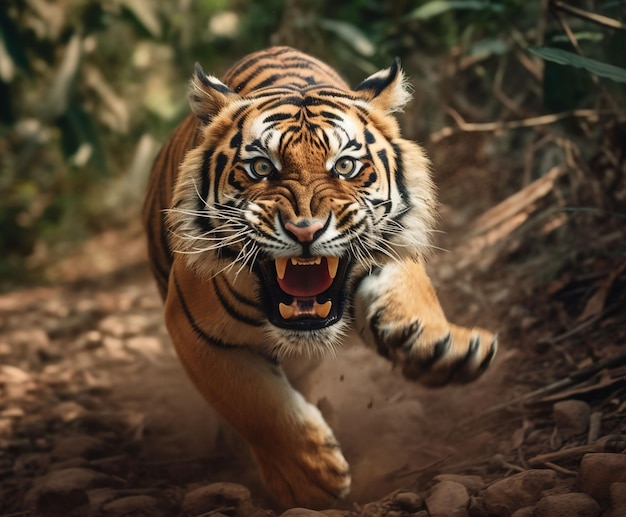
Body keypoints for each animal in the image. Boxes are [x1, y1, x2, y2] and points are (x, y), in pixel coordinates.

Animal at [143, 46, 498, 506]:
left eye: (345, 166)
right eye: (261, 168)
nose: (305, 230)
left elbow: (410, 286)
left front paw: (443, 348)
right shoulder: (193, 330)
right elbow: (254, 403)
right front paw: (311, 477)